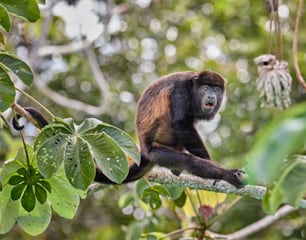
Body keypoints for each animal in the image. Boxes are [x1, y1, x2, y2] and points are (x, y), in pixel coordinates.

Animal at [16, 70, 244, 188]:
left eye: (216, 89)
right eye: (205, 88)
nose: (211, 96)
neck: (193, 87)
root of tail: (142, 149)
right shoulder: (180, 90)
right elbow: (181, 123)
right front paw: (216, 168)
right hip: (157, 152)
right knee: (187, 160)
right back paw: (227, 175)